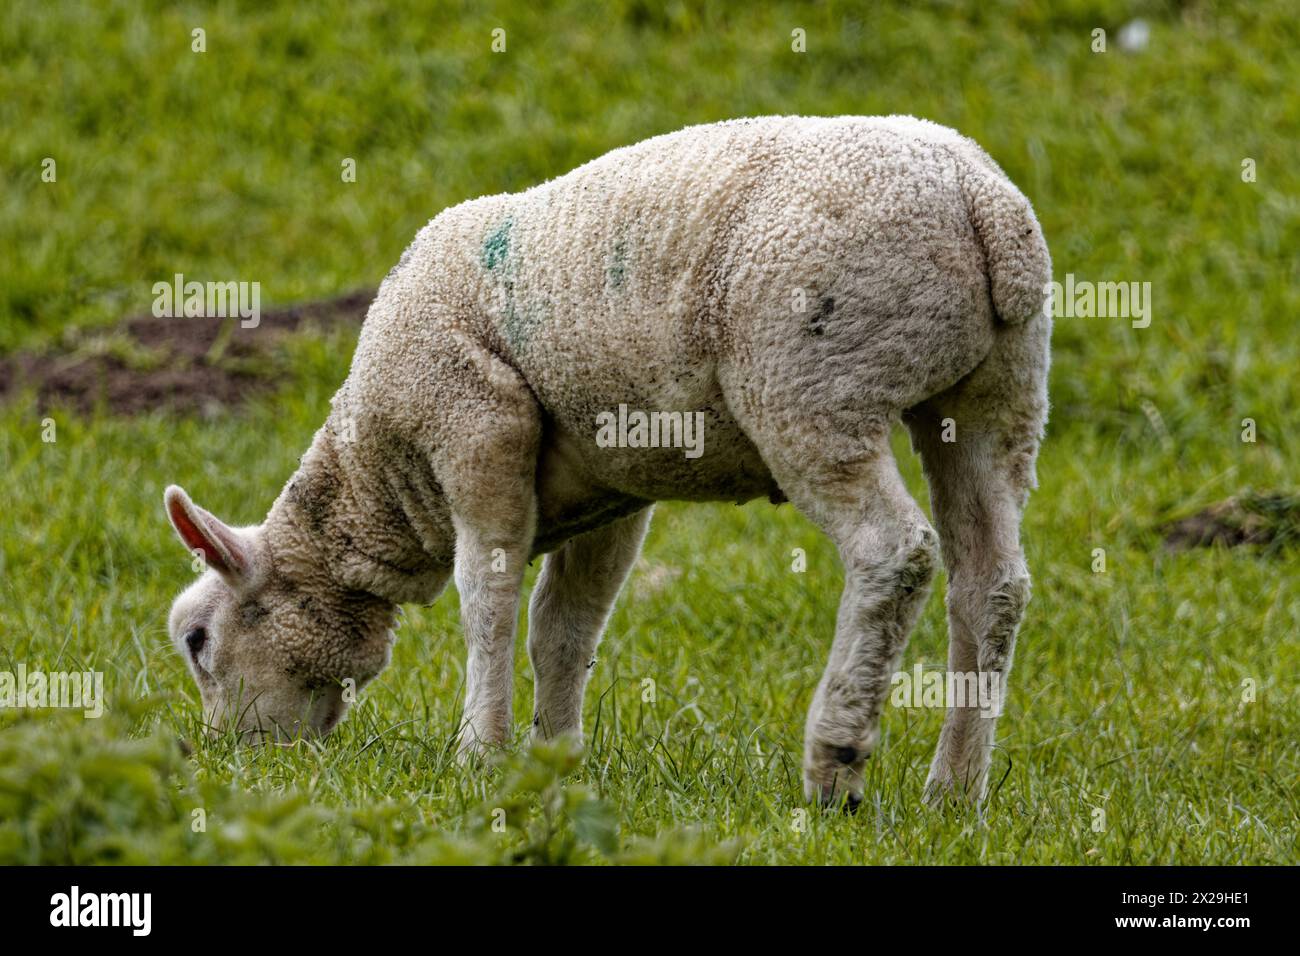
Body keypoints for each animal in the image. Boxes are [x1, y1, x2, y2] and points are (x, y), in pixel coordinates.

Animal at [165, 115, 1055, 811]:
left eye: (198, 642)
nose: (233, 758)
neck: (375, 484)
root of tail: (981, 204)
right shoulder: (612, 488)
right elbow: (565, 626)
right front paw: (556, 759)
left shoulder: (475, 420)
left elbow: (488, 598)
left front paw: (478, 753)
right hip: (998, 392)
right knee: (992, 582)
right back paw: (955, 792)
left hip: (812, 383)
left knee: (893, 553)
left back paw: (834, 764)